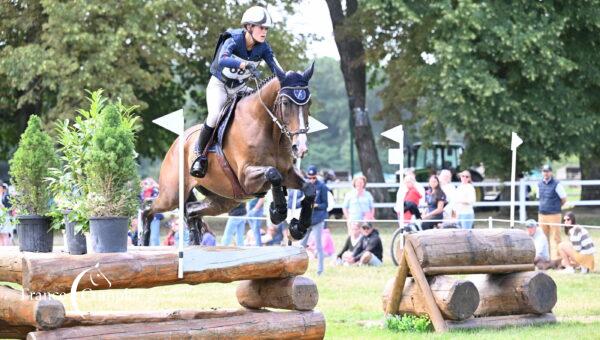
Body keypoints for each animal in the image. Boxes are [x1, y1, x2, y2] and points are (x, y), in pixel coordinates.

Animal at [142, 63, 318, 244]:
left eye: (309, 102)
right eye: (285, 102)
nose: (300, 147)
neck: (269, 131)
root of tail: (176, 143)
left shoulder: (288, 173)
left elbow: (309, 188)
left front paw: (298, 228)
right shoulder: (246, 177)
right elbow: (273, 173)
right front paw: (278, 212)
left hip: (226, 199)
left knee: (191, 211)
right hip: (172, 195)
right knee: (148, 209)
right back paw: (144, 239)